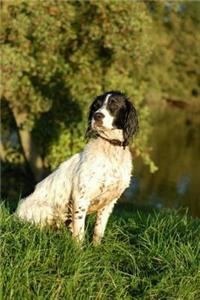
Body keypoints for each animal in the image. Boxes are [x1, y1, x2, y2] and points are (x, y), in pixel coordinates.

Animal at [16, 91, 138, 244]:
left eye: (114, 105)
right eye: (96, 106)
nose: (97, 116)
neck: (110, 151)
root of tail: (15, 214)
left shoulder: (109, 202)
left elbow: (98, 231)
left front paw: (95, 247)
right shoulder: (81, 198)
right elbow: (79, 233)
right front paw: (79, 249)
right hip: (48, 210)